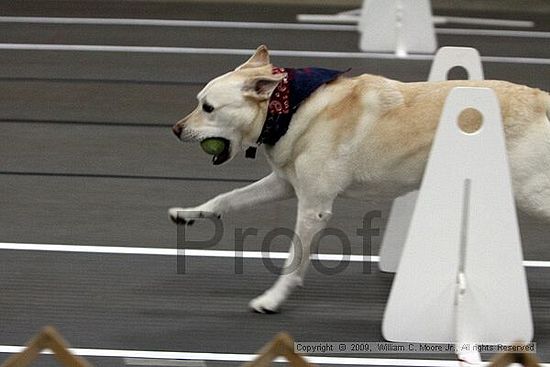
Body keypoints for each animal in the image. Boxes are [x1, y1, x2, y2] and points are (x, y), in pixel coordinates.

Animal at [170, 43, 550, 314]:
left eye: (208, 108)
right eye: (199, 102)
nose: (174, 130)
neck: (290, 107)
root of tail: (540, 96)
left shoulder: (313, 208)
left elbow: (293, 261)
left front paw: (272, 299)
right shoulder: (284, 184)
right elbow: (226, 199)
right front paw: (188, 214)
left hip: (529, 194)